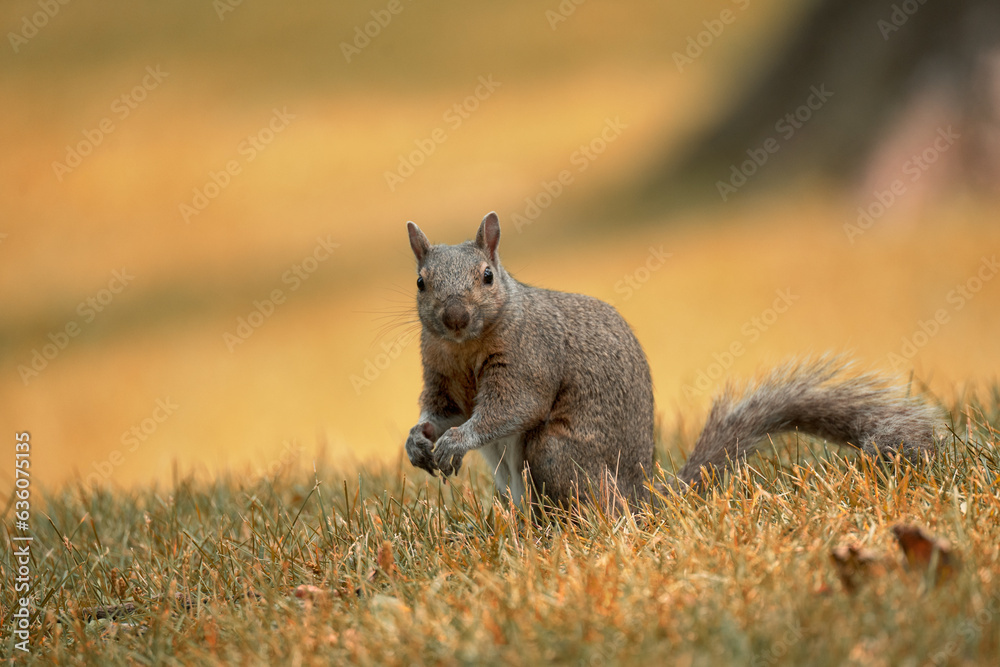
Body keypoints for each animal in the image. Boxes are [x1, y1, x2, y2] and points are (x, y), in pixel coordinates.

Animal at [403, 212, 938, 510]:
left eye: (487, 276)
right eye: (421, 282)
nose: (454, 316)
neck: (464, 346)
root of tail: (644, 499)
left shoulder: (530, 360)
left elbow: (507, 409)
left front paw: (455, 443)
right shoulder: (441, 375)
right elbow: (442, 409)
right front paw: (418, 440)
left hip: (555, 453)